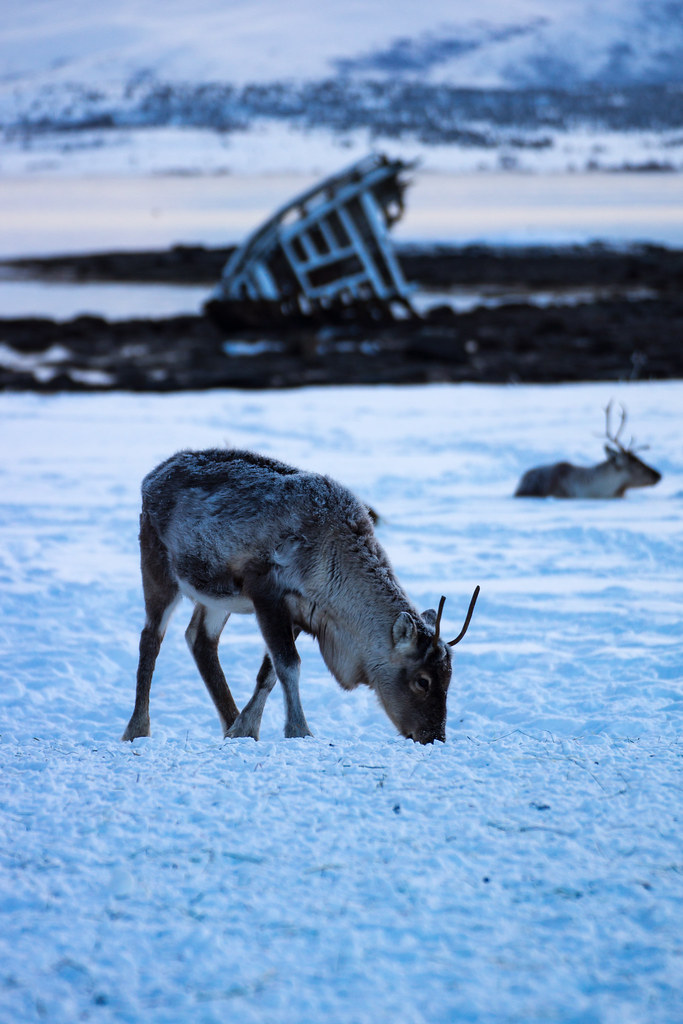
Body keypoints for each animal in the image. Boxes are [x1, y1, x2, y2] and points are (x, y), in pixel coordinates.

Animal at [121, 448, 479, 745]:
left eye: (449, 678)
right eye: (423, 681)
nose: (433, 736)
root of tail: (150, 477)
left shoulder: (302, 612)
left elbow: (268, 675)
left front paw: (244, 730)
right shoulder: (266, 590)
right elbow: (288, 666)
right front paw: (298, 730)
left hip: (213, 596)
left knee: (199, 639)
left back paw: (228, 720)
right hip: (157, 564)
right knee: (150, 638)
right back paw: (137, 729)